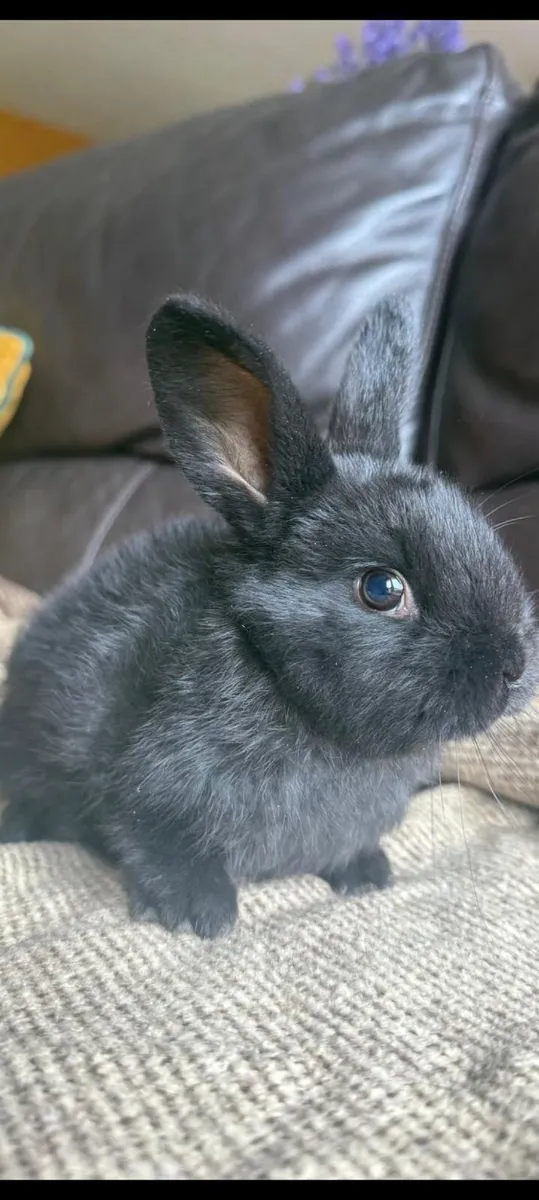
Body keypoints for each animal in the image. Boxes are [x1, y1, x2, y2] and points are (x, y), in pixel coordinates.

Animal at [0, 292, 536, 939]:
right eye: (382, 589)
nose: (514, 666)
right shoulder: (147, 794)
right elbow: (152, 843)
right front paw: (197, 913)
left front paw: (367, 875)